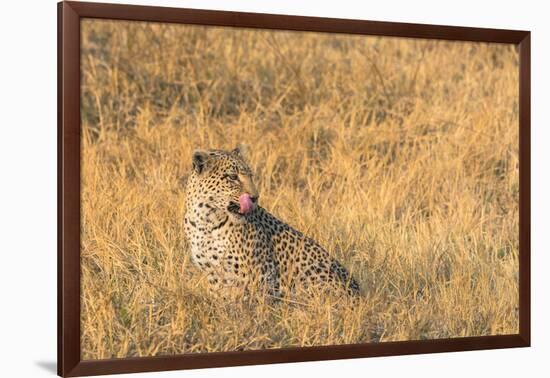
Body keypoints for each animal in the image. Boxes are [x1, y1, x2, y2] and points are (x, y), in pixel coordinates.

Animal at [183, 145, 360, 302]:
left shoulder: (260, 273)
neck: (206, 220)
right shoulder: (214, 275)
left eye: (251, 176)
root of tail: (359, 294)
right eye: (232, 177)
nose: (255, 197)